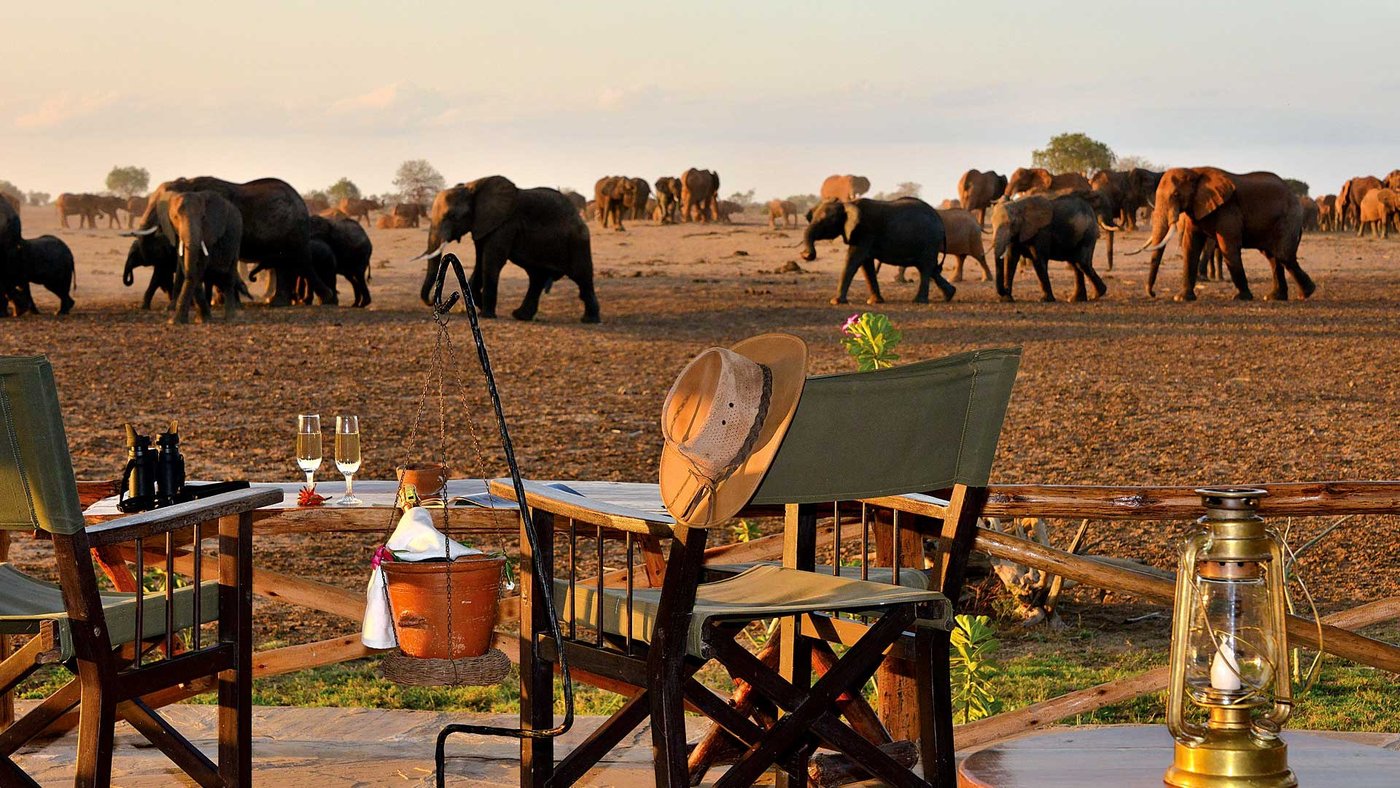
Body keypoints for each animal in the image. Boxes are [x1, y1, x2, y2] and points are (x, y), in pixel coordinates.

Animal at [126, 176, 333, 307]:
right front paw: (217, 301)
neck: (187, 183)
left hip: (294, 230)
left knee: (300, 262)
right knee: (284, 264)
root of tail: (302, 202)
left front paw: (218, 301)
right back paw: (278, 303)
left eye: (161, 208)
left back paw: (326, 300)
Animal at [165, 191, 243, 324]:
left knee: (229, 278)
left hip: (236, 242)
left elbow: (199, 268)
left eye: (203, 218)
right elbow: (187, 267)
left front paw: (175, 322)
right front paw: (199, 319)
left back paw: (230, 319)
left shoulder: (210, 234)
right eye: (175, 218)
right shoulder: (176, 234)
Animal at [414, 176, 600, 323]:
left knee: (582, 277)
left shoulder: (505, 225)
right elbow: (480, 262)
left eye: (452, 216)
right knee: (537, 278)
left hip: (578, 242)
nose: (433, 302)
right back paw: (520, 316)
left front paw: (486, 314)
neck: (472, 186)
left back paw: (590, 320)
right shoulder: (482, 225)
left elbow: (491, 261)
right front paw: (478, 303)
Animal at [800, 197, 954, 304]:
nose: (806, 255)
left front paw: (835, 302)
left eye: (826, 222)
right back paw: (950, 295)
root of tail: (940, 221)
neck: (847, 203)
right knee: (930, 268)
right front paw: (874, 301)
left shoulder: (864, 231)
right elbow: (866, 263)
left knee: (926, 268)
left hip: (929, 241)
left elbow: (854, 259)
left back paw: (919, 301)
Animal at [1134, 168, 1315, 301]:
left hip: (1289, 218)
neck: (1195, 172)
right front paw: (1182, 298)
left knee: (1283, 255)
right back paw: (1275, 297)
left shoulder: (1228, 209)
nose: (1153, 294)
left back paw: (1306, 293)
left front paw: (1241, 298)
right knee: (1272, 257)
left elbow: (1227, 245)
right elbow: (1191, 246)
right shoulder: (1195, 208)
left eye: (1176, 195)